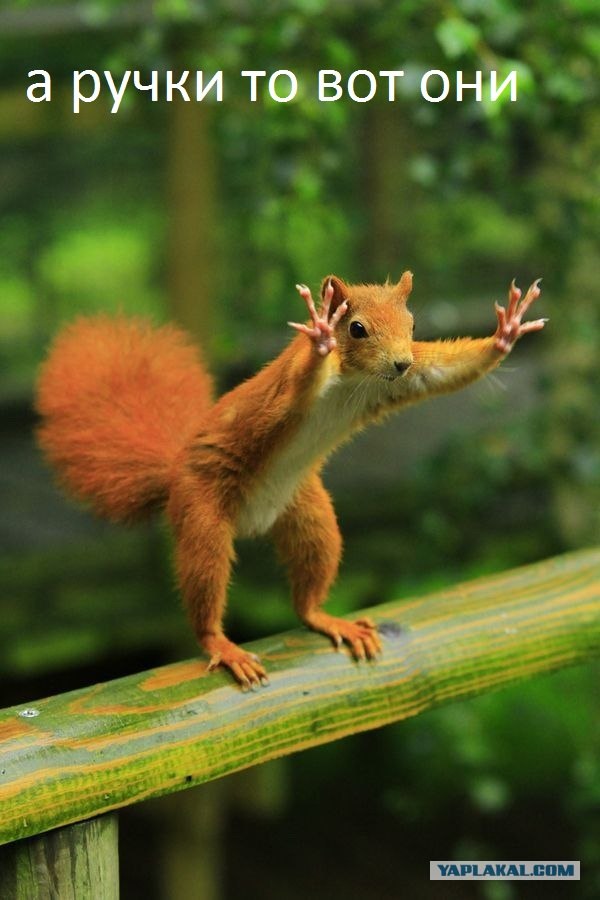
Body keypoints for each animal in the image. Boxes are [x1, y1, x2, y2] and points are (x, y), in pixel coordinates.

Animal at [36, 272, 545, 688]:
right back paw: (221, 645)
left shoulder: (402, 382)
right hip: (202, 513)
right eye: (356, 328)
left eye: (414, 325)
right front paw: (320, 334)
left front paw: (506, 333)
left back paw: (326, 618)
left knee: (307, 590)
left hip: (309, 515)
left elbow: (442, 371)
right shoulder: (285, 392)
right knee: (204, 583)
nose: (400, 362)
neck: (354, 380)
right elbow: (297, 386)